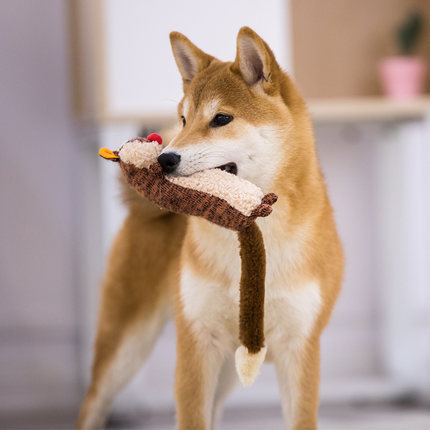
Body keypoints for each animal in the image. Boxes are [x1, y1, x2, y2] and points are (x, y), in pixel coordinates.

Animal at [76, 27, 342, 430]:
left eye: (221, 119)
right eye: (184, 119)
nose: (165, 159)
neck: (251, 235)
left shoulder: (301, 347)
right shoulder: (197, 341)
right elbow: (192, 416)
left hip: (228, 369)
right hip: (126, 348)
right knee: (92, 404)